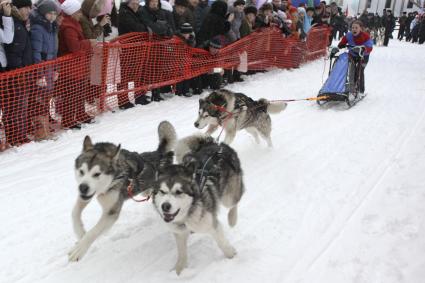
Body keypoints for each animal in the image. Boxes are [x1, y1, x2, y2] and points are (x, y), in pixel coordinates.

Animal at [68, 121, 175, 262]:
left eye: (97, 174)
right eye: (81, 171)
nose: (83, 187)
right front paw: (80, 232)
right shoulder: (87, 196)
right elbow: (75, 212)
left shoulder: (111, 212)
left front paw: (80, 249)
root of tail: (159, 154)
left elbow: (94, 231)